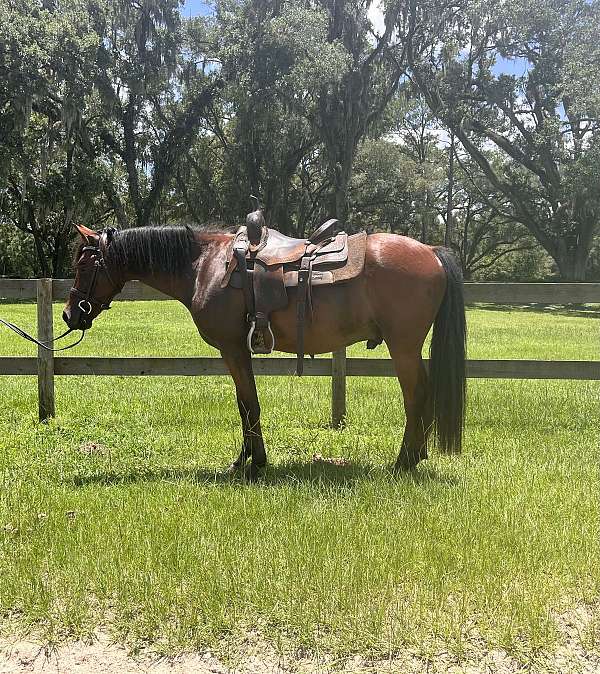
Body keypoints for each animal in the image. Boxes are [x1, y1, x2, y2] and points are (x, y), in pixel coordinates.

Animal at [63, 222, 466, 479]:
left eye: (83, 264)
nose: (69, 314)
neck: (205, 266)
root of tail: (431, 251)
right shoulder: (237, 351)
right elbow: (245, 405)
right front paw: (246, 460)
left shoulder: (233, 350)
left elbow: (248, 404)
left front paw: (253, 463)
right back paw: (416, 455)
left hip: (404, 347)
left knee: (416, 396)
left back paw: (404, 461)